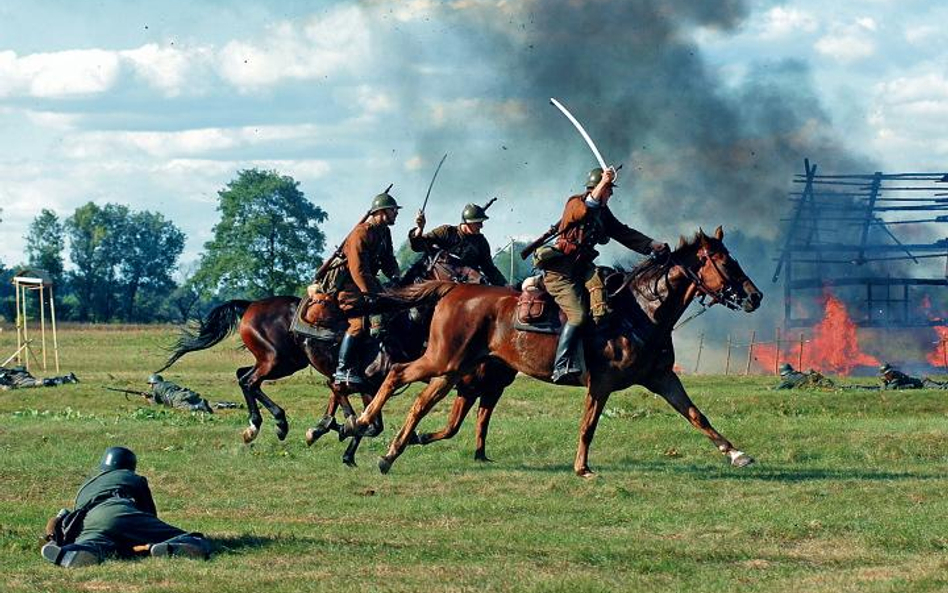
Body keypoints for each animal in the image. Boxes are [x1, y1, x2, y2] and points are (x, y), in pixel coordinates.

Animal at [344, 227, 768, 476]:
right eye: (726, 262)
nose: (755, 297)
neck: (641, 311)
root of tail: (454, 289)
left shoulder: (661, 378)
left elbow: (697, 415)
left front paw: (736, 454)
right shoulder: (601, 384)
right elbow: (588, 426)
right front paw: (582, 468)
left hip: (452, 370)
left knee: (420, 401)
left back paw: (386, 447)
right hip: (443, 361)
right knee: (397, 375)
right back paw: (365, 427)